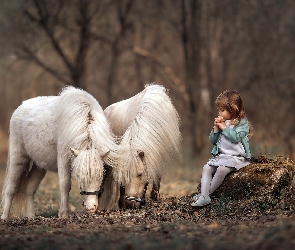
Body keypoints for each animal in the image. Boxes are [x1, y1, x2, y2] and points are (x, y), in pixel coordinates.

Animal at [0, 86, 118, 219]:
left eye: (100, 176)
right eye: (79, 176)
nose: (90, 207)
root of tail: (20, 107)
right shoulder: (64, 159)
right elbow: (65, 185)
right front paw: (63, 214)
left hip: (39, 166)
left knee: (29, 188)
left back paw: (31, 217)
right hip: (18, 158)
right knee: (11, 188)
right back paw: (4, 217)